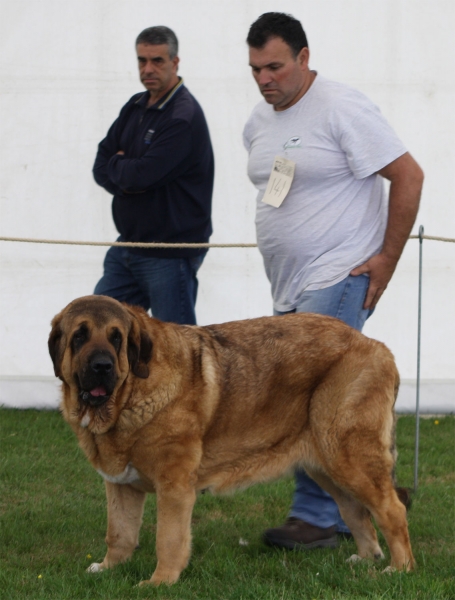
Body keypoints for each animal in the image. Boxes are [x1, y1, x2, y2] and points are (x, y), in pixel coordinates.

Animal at [48, 296, 416, 584]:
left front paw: (160, 582)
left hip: (348, 455)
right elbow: (119, 533)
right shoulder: (121, 485)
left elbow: (168, 538)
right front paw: (109, 568)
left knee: (391, 509)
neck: (128, 397)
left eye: (117, 338)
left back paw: (400, 569)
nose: (102, 366)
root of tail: (377, 347)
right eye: (79, 336)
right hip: (327, 466)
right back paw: (366, 559)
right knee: (356, 510)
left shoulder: (174, 486)